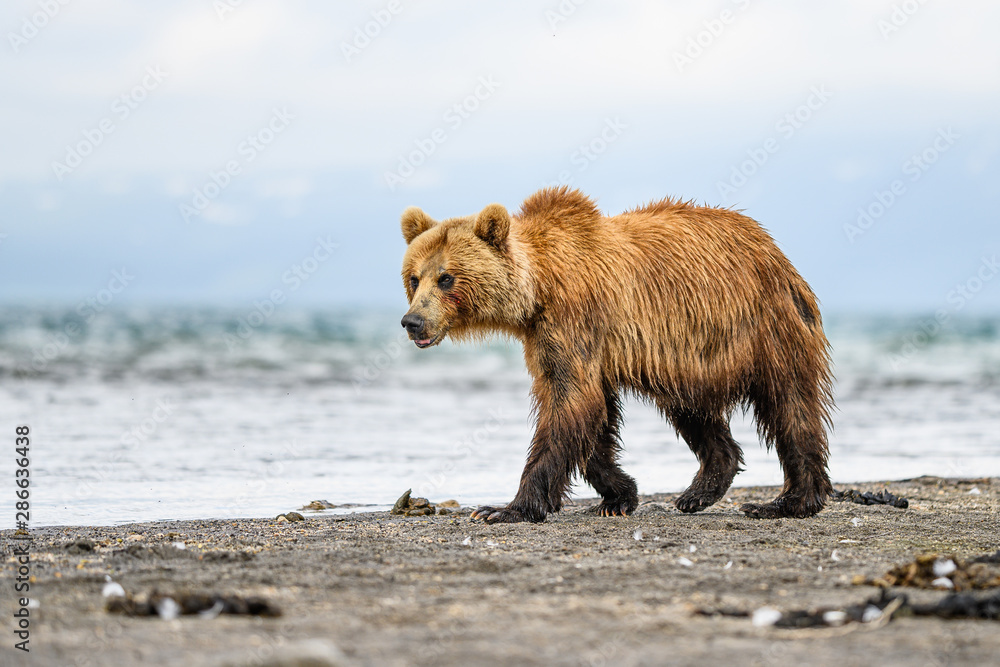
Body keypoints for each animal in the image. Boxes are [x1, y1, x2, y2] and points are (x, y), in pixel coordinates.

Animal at [399, 186, 833, 523]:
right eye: (414, 278)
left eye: (446, 277)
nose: (412, 321)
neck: (539, 288)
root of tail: (772, 247)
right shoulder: (553, 340)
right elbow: (588, 411)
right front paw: (618, 496)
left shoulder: (575, 319)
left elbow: (572, 403)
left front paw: (504, 508)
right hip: (686, 356)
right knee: (692, 410)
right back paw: (699, 490)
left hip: (764, 325)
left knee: (790, 404)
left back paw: (788, 501)